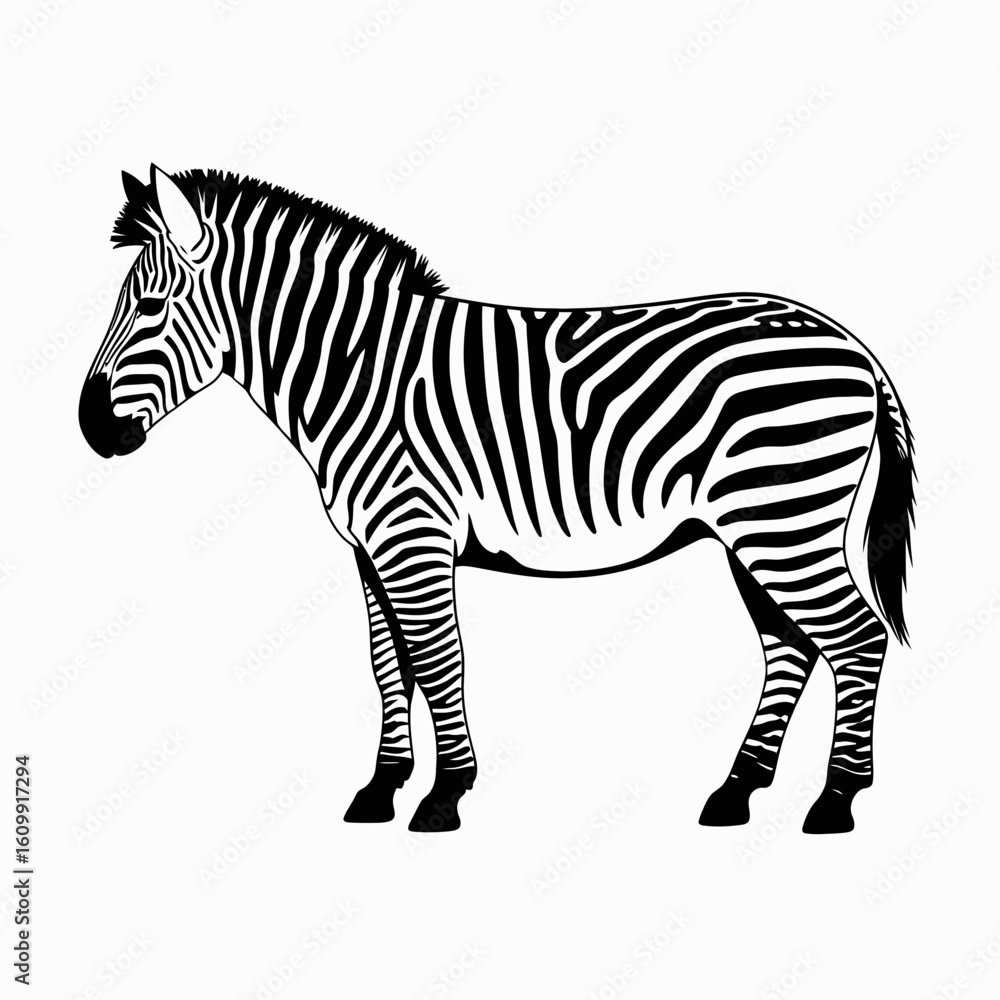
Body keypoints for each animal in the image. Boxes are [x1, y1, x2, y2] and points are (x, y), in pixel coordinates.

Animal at [79, 166, 915, 835]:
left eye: (149, 306)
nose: (89, 428)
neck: (356, 372)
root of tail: (848, 341)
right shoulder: (370, 550)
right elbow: (389, 667)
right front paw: (382, 788)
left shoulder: (412, 534)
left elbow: (438, 660)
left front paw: (444, 796)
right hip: (760, 527)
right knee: (792, 646)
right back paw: (736, 792)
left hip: (783, 517)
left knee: (856, 639)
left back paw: (834, 802)